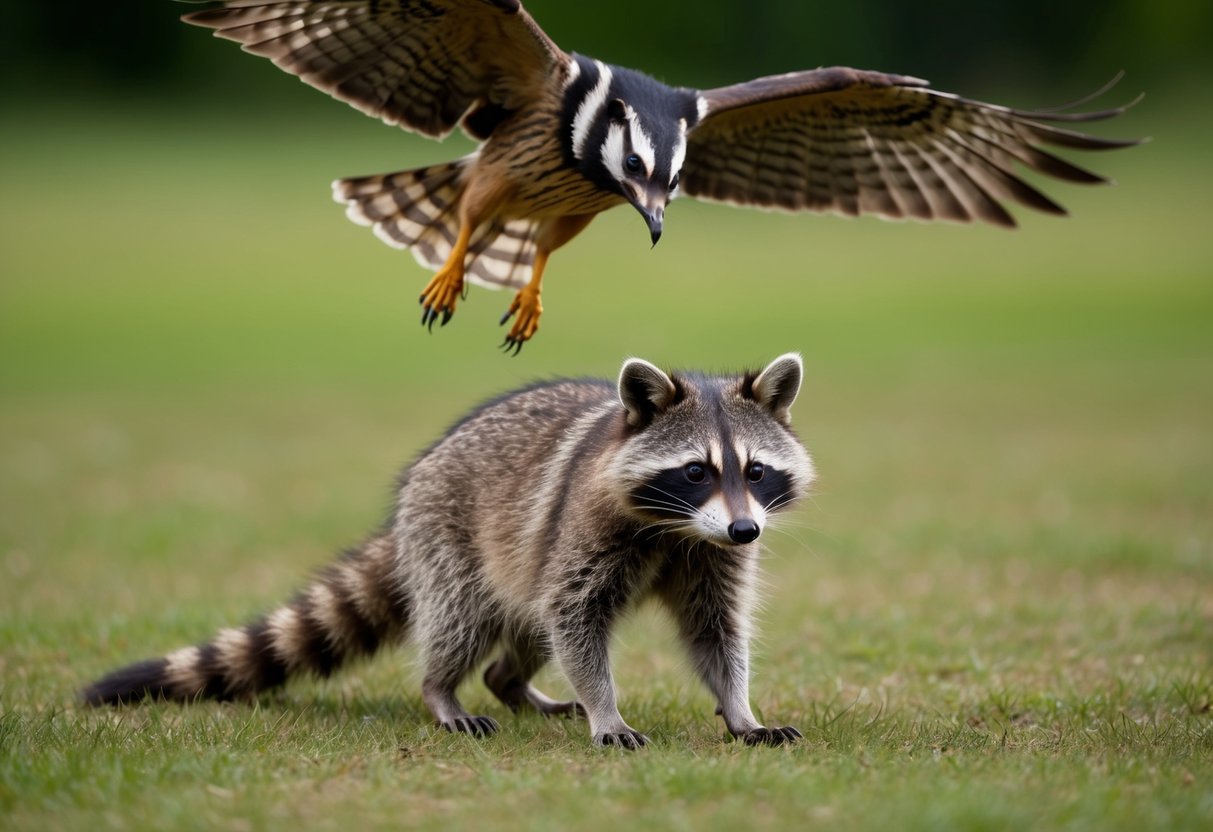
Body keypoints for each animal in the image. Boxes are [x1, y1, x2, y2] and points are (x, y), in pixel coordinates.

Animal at [83, 354, 815, 748]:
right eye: (694, 471)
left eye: (754, 471)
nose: (746, 531)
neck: (681, 529)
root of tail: (420, 474)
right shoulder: (587, 531)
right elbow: (577, 622)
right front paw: (608, 709)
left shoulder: (711, 557)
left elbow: (714, 630)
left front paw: (740, 709)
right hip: (450, 539)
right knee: (468, 621)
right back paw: (442, 689)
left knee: (528, 629)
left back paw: (511, 682)